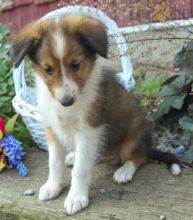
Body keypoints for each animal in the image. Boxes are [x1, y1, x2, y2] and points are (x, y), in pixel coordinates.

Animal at [12, 13, 181, 215]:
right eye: (48, 70)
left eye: (75, 65)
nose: (66, 101)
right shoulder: (52, 130)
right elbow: (54, 163)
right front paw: (53, 186)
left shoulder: (89, 131)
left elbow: (80, 170)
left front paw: (76, 197)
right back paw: (73, 157)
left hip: (135, 134)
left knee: (140, 157)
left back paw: (124, 171)